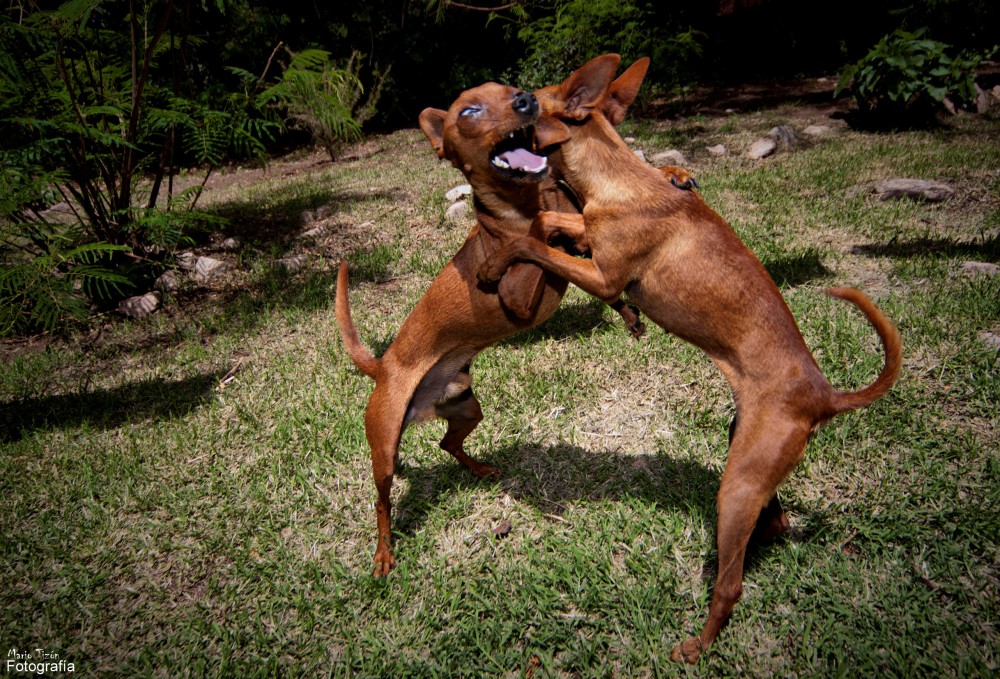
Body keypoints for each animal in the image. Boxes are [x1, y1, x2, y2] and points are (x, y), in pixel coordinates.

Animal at [478, 54, 908, 664]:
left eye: (525, 101)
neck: (620, 180)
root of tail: (825, 395)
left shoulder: (605, 275)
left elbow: (533, 242)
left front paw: (495, 265)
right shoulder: (588, 237)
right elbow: (549, 224)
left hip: (737, 483)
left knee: (730, 585)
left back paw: (697, 645)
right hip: (747, 454)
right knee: (771, 522)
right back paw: (766, 536)